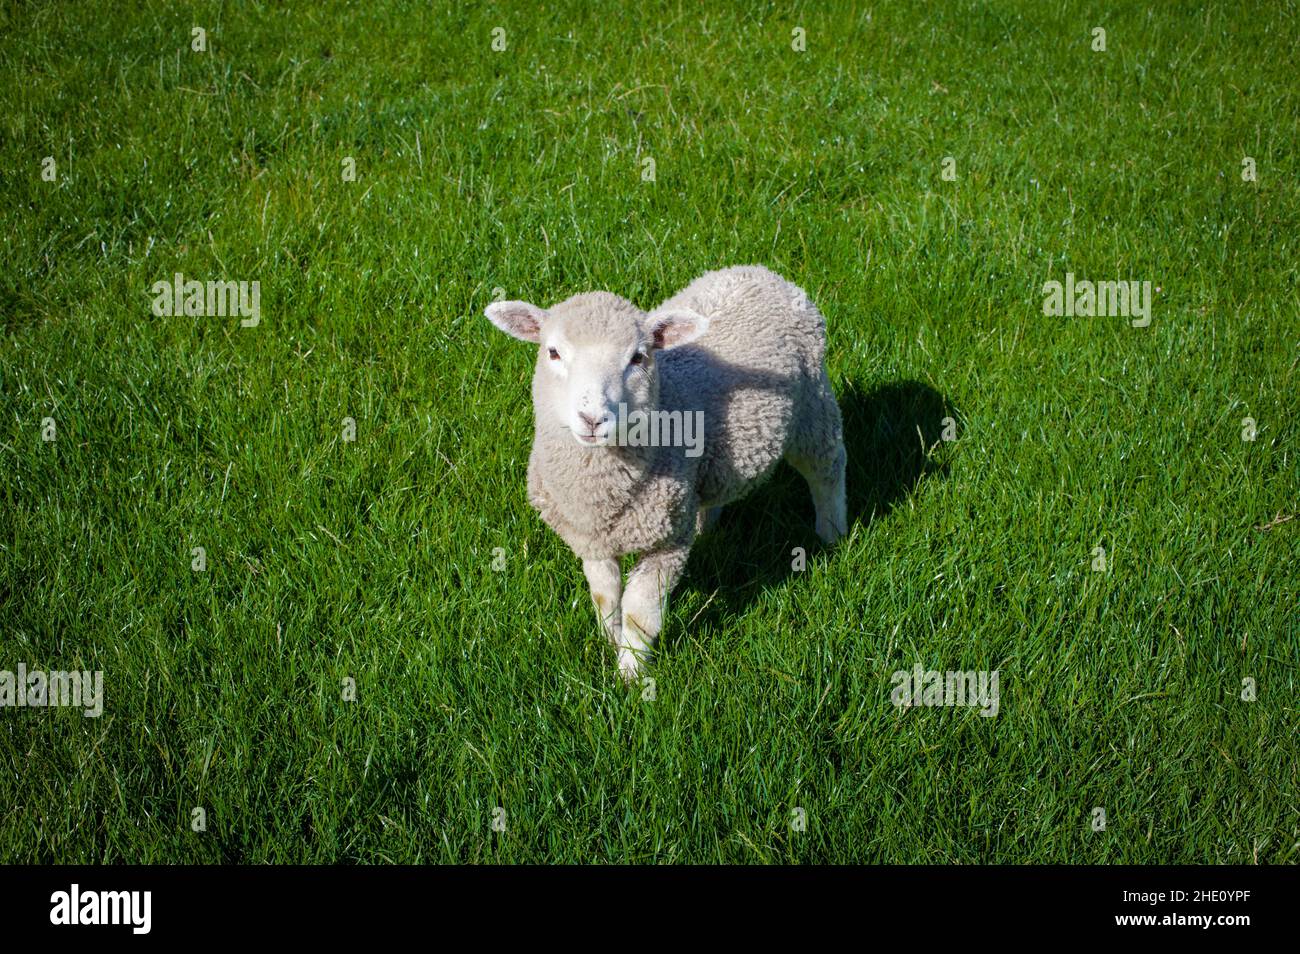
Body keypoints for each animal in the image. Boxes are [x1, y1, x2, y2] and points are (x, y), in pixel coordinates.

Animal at [485, 265, 846, 681]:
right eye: (553, 352)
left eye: (638, 357)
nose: (592, 418)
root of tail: (762, 272)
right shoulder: (591, 536)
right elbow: (604, 597)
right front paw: (610, 642)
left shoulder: (665, 542)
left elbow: (640, 613)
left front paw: (630, 675)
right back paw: (707, 528)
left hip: (812, 403)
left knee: (828, 467)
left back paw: (832, 532)